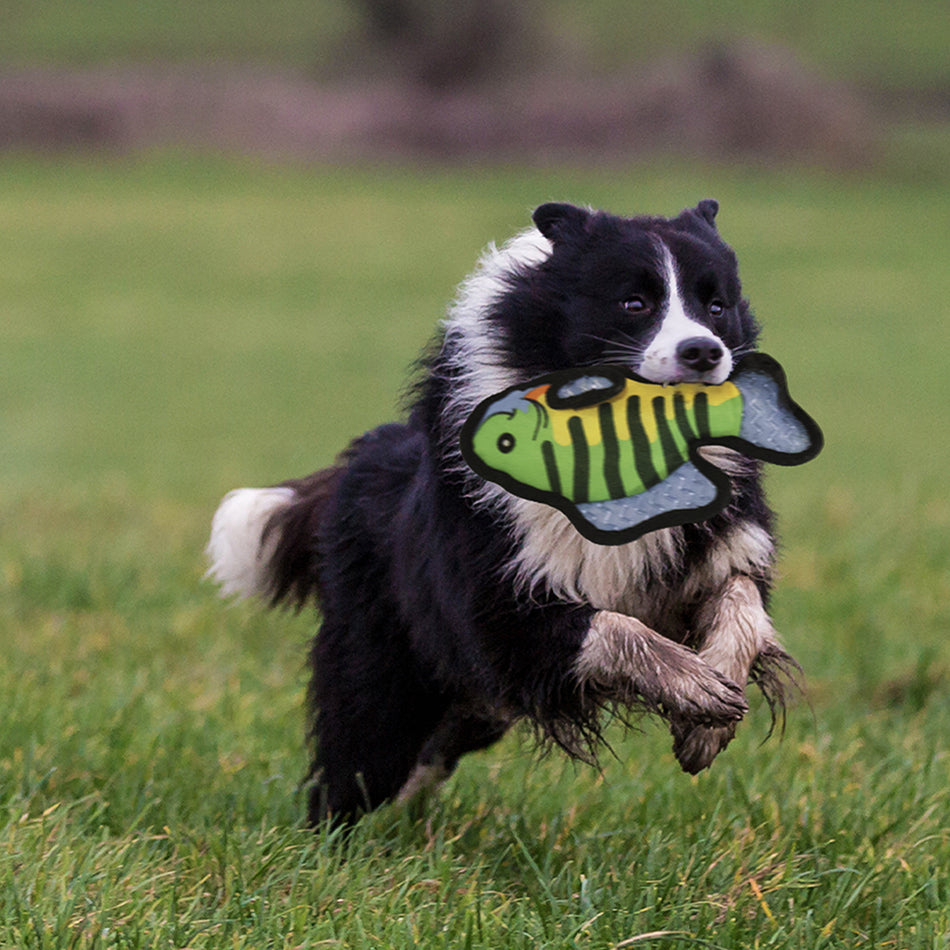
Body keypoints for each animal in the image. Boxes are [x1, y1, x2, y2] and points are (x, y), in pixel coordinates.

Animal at [210, 201, 804, 824]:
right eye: (634, 303)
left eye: (717, 306)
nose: (704, 352)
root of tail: (369, 455)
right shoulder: (498, 596)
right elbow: (606, 625)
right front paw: (696, 689)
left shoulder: (717, 543)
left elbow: (740, 598)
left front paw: (708, 718)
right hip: (381, 653)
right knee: (359, 748)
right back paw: (335, 837)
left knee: (436, 744)